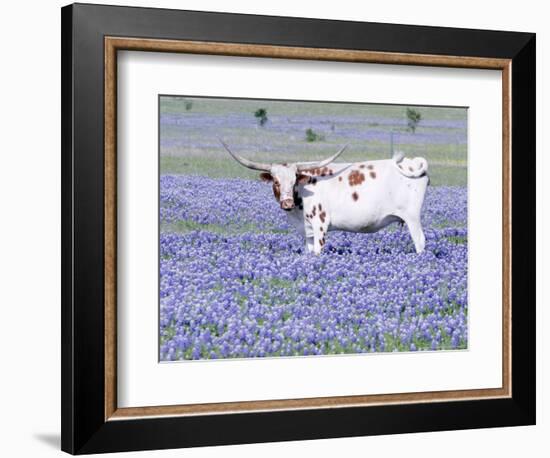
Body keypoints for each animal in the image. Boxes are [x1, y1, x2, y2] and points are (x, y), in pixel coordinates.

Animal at [221, 140, 432, 254]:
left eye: (294, 180)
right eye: (276, 182)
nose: (287, 203)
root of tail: (413, 162)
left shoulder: (320, 225)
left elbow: (318, 251)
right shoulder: (307, 231)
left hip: (412, 218)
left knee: (420, 241)